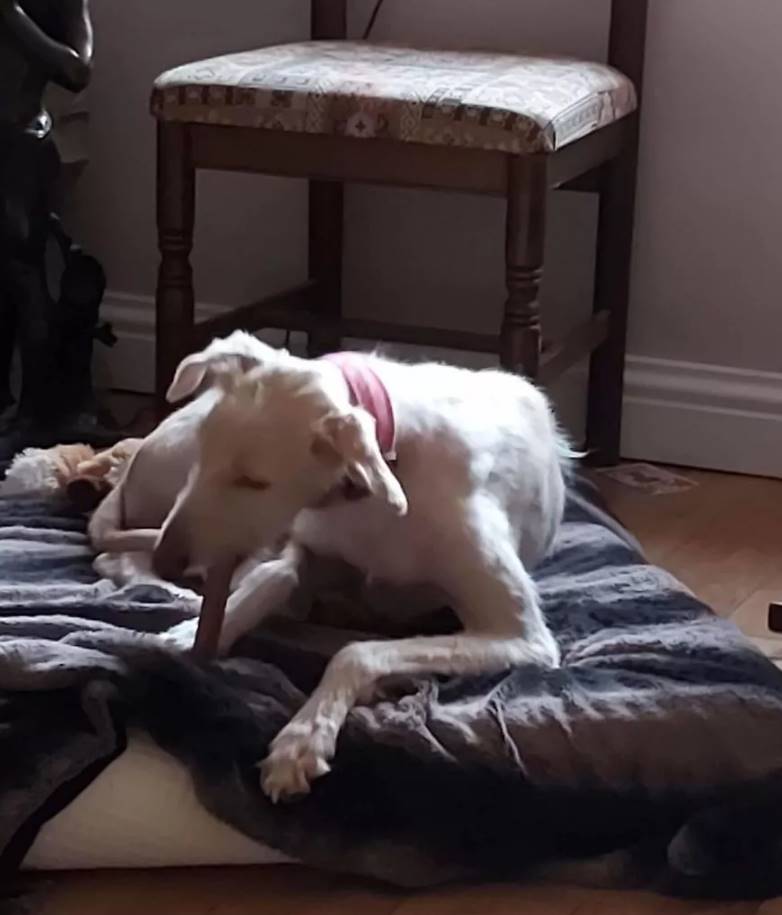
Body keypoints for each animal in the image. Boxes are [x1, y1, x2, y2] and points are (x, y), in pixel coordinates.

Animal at [151, 343, 572, 802]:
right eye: (201, 452)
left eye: (254, 481)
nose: (161, 564)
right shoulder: (312, 543)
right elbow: (276, 576)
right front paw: (197, 628)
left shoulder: (522, 636)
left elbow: (356, 651)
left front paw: (303, 737)